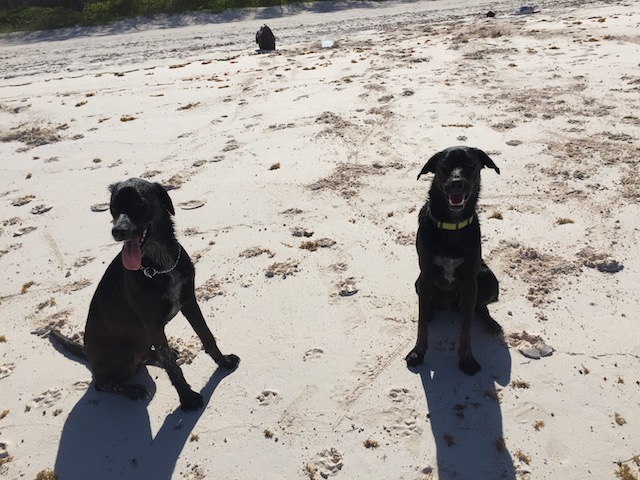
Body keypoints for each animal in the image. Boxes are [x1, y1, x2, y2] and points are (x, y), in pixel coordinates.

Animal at [50, 178, 240, 410]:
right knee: (102, 384)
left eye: (139, 205)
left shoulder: (189, 302)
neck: (159, 263)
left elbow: (206, 336)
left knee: (147, 357)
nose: (117, 231)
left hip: (142, 340)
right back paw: (132, 390)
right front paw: (187, 398)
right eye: (113, 209)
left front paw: (223, 362)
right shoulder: (153, 324)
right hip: (124, 351)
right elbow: (172, 366)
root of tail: (90, 358)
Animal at [404, 145, 504, 376]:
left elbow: (466, 328)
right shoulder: (425, 277)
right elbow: (422, 325)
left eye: (471, 165)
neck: (452, 224)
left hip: (488, 278)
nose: (457, 183)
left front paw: (467, 359)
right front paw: (417, 353)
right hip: (418, 284)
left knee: (479, 307)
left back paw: (491, 324)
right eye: (444, 165)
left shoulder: (470, 282)